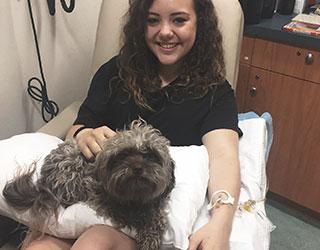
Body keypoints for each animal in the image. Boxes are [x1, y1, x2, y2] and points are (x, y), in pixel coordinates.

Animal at [1, 119, 175, 250]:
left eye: (151, 155)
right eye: (124, 154)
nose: (137, 168)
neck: (135, 197)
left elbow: (155, 215)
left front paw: (151, 231)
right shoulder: (97, 193)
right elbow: (127, 213)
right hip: (70, 176)